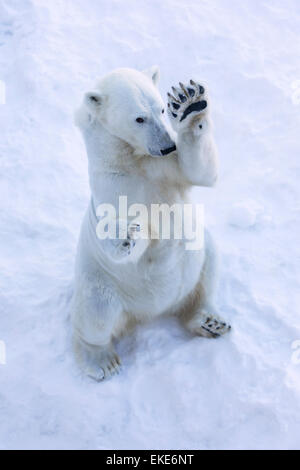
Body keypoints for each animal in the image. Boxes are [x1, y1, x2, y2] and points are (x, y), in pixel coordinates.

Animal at [72, 67, 230, 382]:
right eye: (139, 118)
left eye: (161, 109)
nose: (167, 145)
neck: (134, 162)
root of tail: (149, 313)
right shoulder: (114, 186)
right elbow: (132, 236)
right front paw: (126, 233)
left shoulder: (169, 169)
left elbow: (202, 171)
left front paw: (189, 104)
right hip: (101, 280)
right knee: (97, 311)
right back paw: (102, 360)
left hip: (199, 258)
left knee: (208, 268)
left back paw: (209, 321)